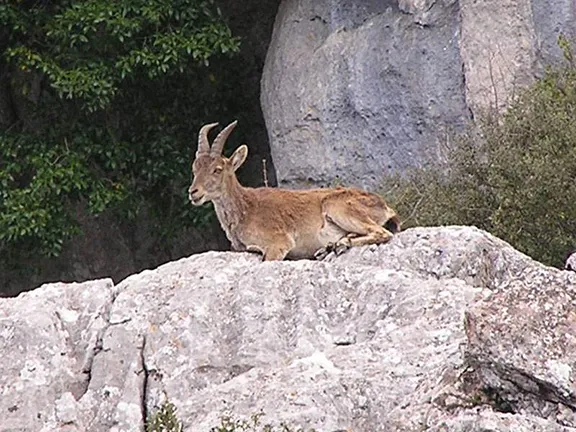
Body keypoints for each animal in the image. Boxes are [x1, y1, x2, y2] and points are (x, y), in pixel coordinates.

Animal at [189, 120, 400, 260]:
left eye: (217, 169)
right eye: (194, 168)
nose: (193, 192)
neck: (245, 209)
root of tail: (386, 207)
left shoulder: (278, 242)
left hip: (338, 206)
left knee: (382, 233)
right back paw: (332, 246)